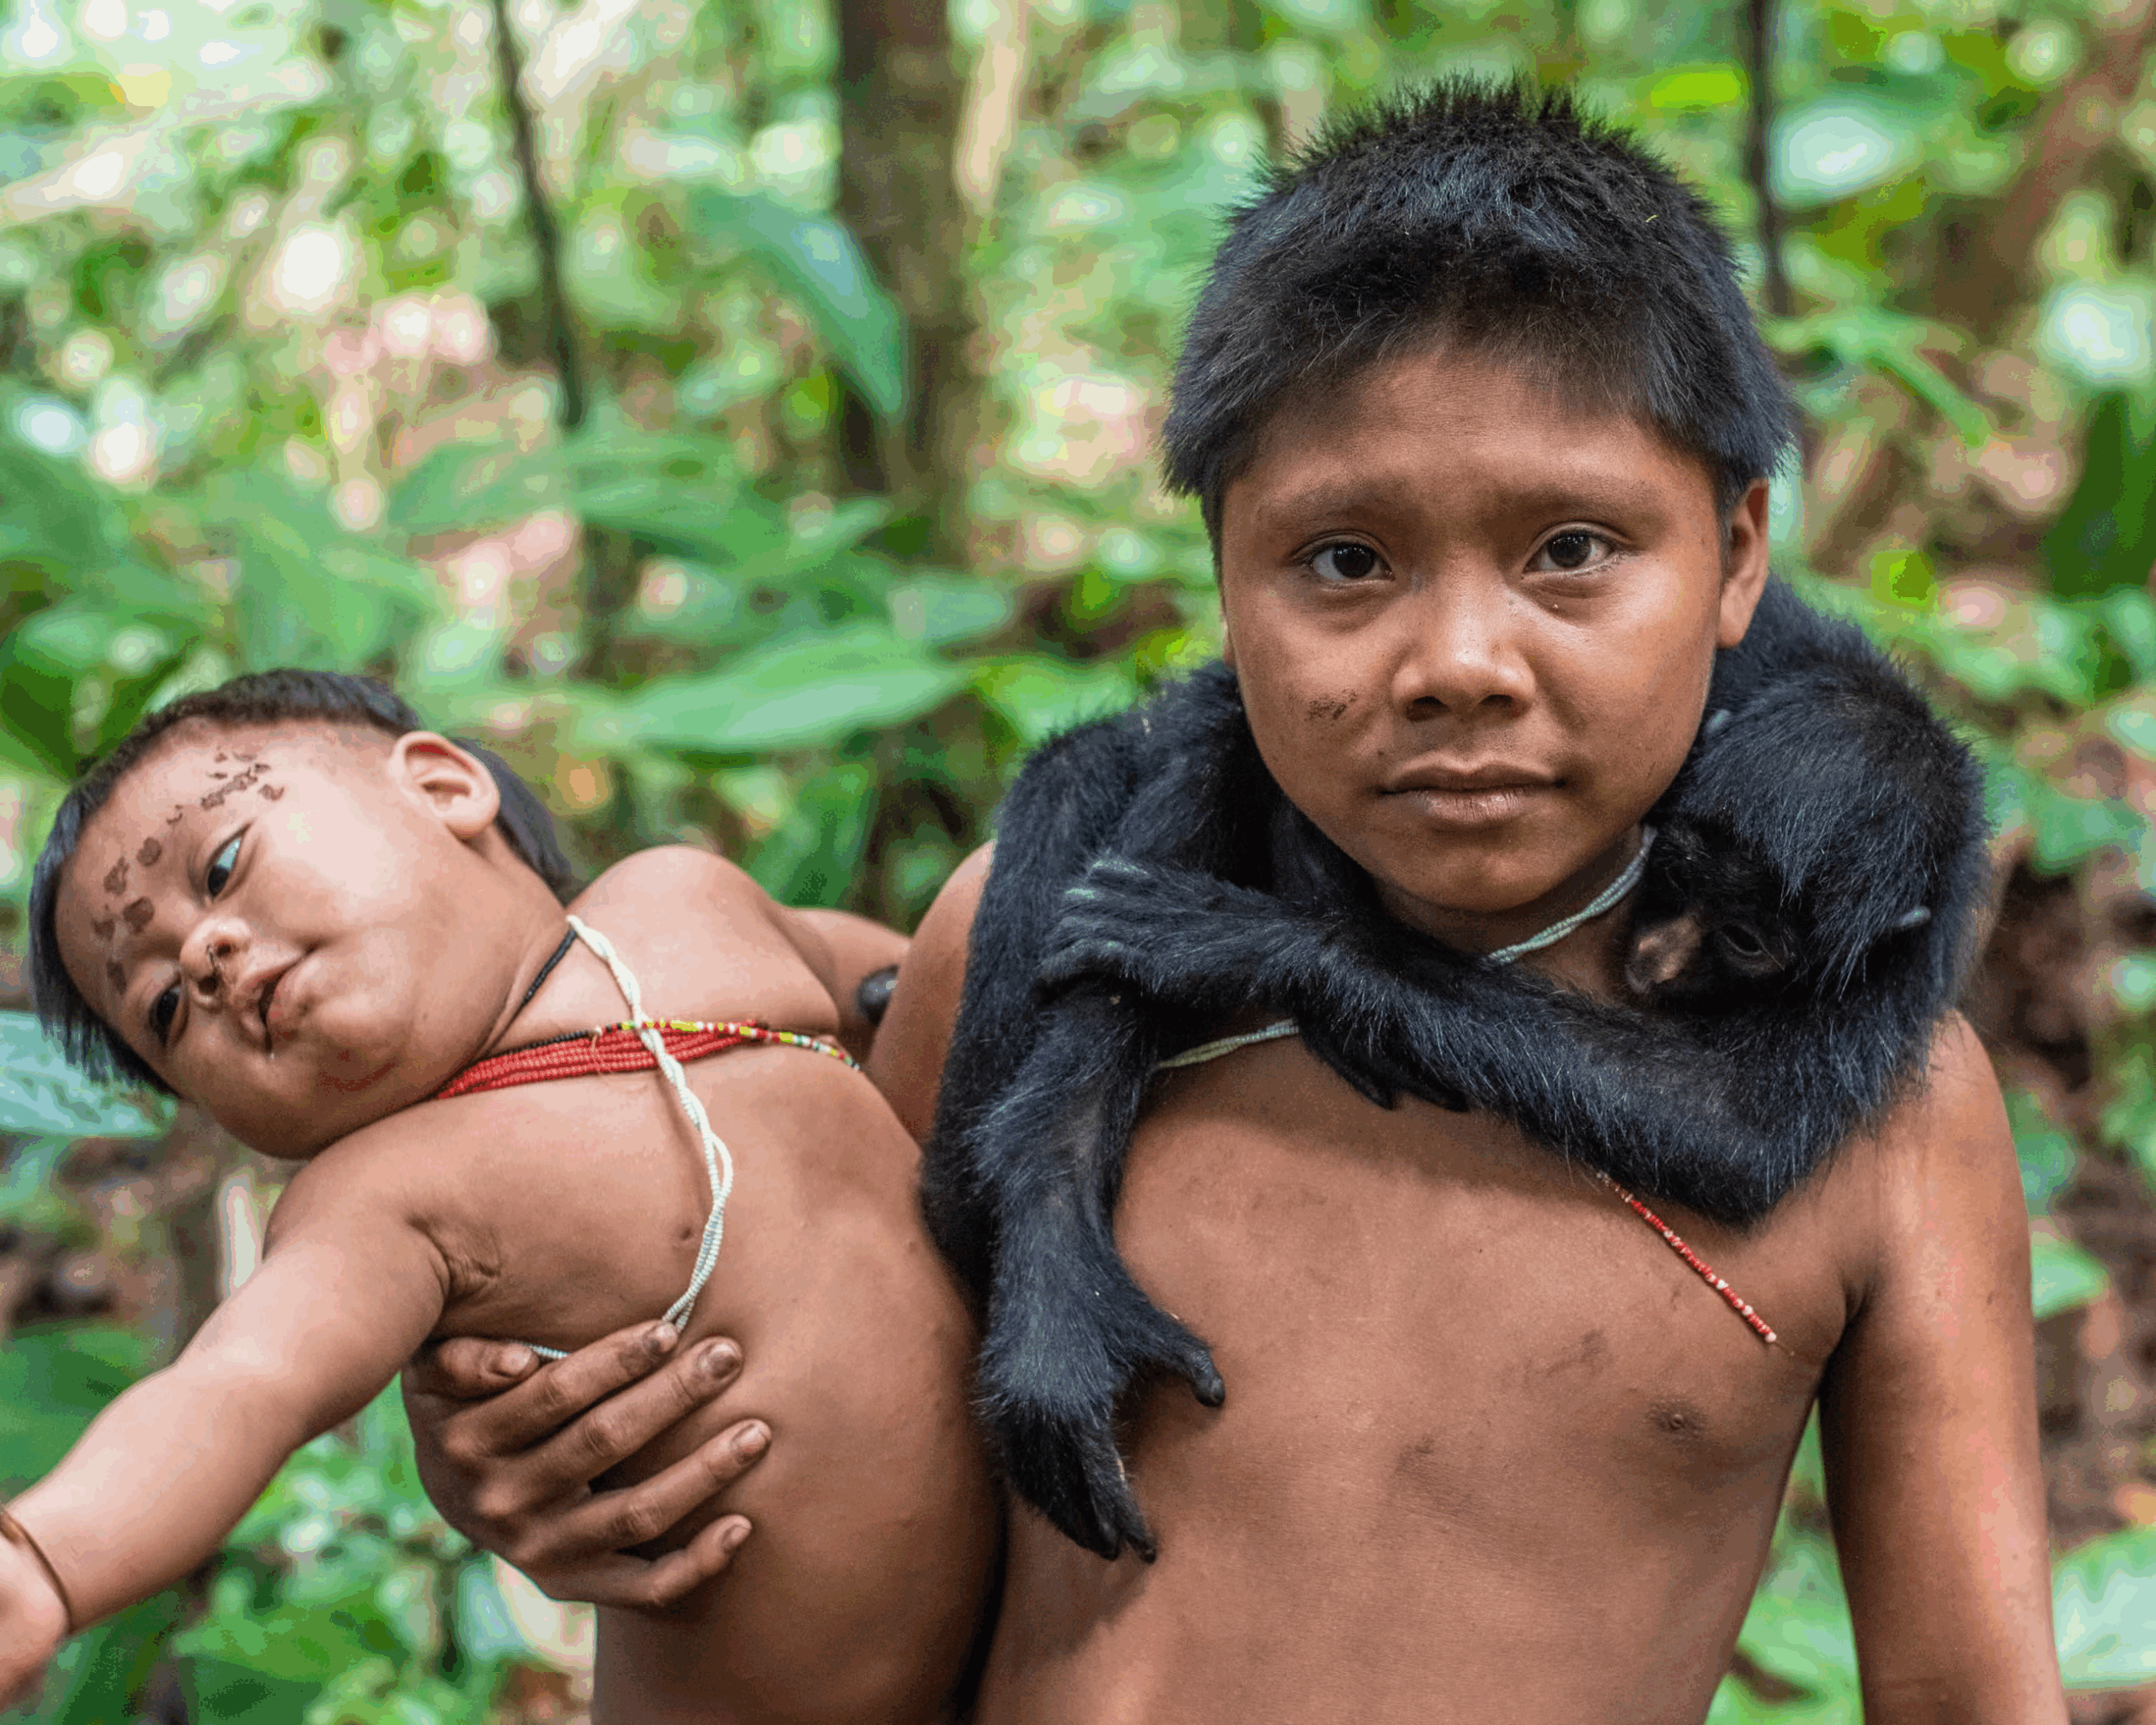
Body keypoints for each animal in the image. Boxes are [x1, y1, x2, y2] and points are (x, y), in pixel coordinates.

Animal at [920, 579, 1992, 1565]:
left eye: (1745, 940)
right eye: (1678, 866)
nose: (1654, 963)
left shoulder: (1878, 989)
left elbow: (1731, 1121)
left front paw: (1283, 941)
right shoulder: (1731, 671)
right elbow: (1246, 715)